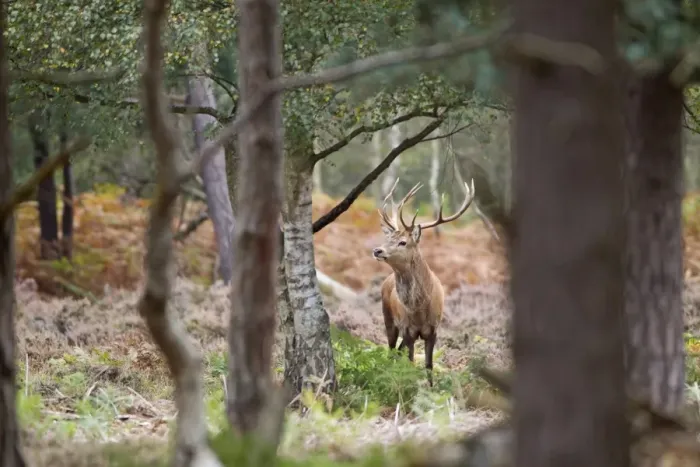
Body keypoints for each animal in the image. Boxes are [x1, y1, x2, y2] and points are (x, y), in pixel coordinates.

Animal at [372, 177, 475, 386]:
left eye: (403, 242)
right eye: (388, 238)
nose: (377, 250)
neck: (419, 309)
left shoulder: (434, 329)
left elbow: (428, 365)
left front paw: (430, 388)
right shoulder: (408, 329)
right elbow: (411, 362)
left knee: (397, 350)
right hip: (388, 317)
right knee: (392, 349)